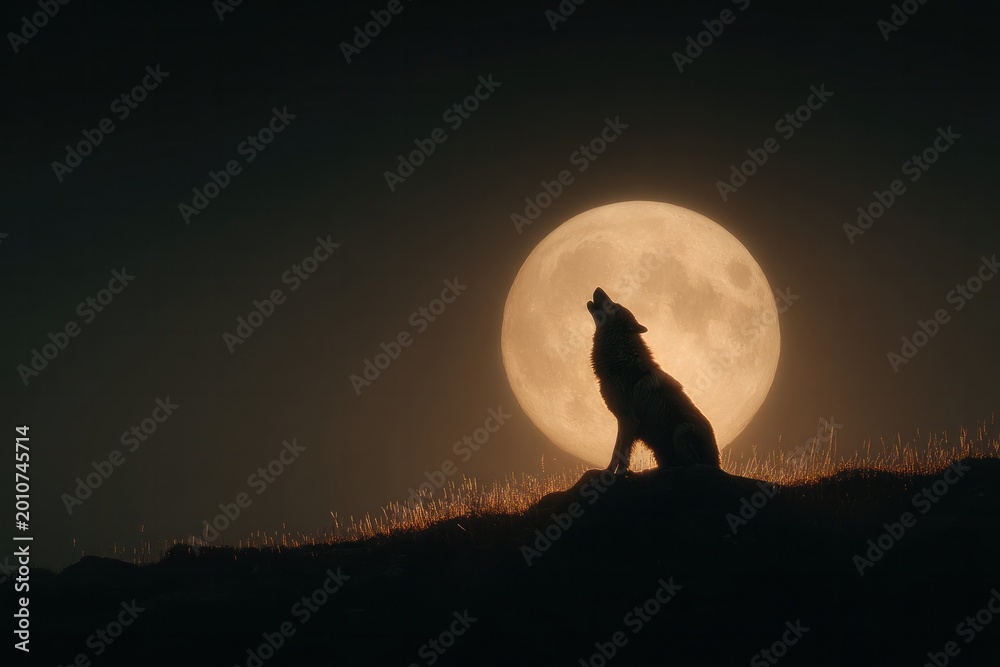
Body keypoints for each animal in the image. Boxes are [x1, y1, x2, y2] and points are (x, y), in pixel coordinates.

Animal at [587, 287, 721, 473]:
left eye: (614, 306)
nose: (598, 288)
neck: (622, 363)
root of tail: (718, 462)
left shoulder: (629, 420)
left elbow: (622, 453)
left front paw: (618, 474)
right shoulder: (621, 419)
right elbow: (615, 451)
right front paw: (607, 471)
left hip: (681, 430)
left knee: (693, 464)